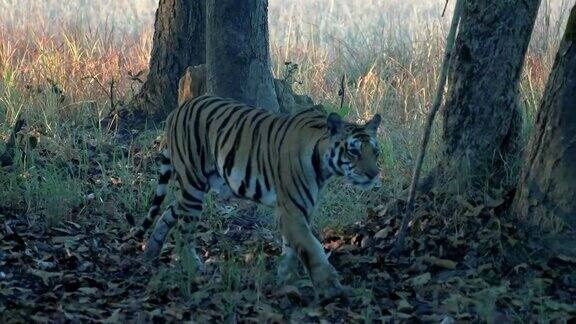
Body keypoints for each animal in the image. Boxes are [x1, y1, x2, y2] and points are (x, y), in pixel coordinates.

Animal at [133, 95, 380, 300]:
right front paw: (331, 289)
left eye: (375, 152)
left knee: (168, 213)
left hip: (193, 189)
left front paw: (285, 279)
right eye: (353, 151)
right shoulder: (291, 210)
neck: (324, 166)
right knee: (183, 231)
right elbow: (312, 247)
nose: (374, 174)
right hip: (193, 185)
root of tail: (179, 108)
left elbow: (293, 247)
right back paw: (193, 268)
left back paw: (150, 253)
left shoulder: (300, 211)